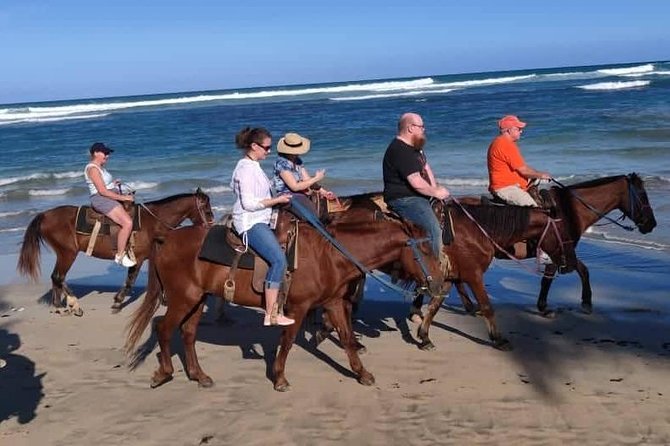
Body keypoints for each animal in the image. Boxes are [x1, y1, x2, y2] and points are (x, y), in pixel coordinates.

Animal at [16, 188, 213, 314]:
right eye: (206, 207)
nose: (210, 224)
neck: (152, 222)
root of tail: (45, 215)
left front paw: (164, 299)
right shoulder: (138, 258)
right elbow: (130, 280)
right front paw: (118, 301)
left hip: (64, 254)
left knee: (56, 277)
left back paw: (59, 305)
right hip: (68, 253)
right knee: (58, 276)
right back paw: (74, 304)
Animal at [124, 219, 446, 390]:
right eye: (426, 250)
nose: (441, 284)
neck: (329, 255)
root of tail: (166, 239)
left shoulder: (333, 303)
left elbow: (346, 338)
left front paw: (362, 373)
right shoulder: (299, 308)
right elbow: (288, 341)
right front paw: (279, 377)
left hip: (198, 299)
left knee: (188, 334)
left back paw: (199, 376)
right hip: (184, 298)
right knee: (164, 329)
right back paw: (164, 373)